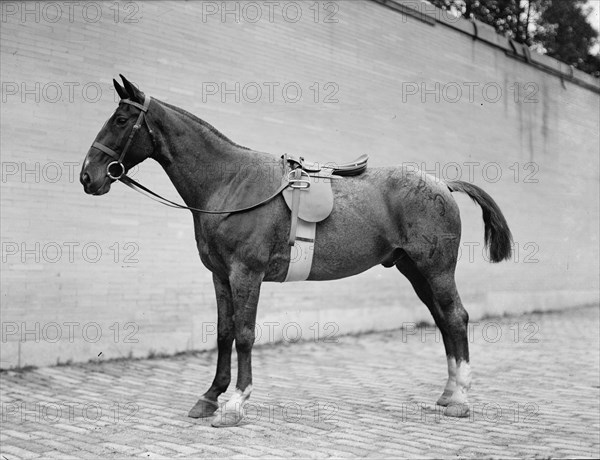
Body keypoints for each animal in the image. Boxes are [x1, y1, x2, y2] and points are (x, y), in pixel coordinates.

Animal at [78, 74, 510, 428]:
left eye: (120, 120)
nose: (87, 176)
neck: (230, 183)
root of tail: (443, 185)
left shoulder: (246, 273)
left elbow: (244, 334)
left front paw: (236, 403)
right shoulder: (220, 275)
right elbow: (223, 332)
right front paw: (210, 396)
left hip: (436, 269)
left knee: (455, 317)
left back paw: (460, 398)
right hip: (414, 270)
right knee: (442, 319)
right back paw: (448, 392)